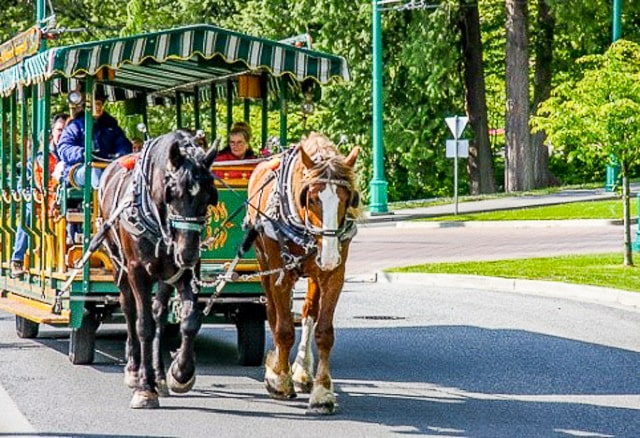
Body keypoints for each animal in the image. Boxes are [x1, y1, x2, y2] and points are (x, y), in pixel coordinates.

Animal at [97, 130, 218, 408]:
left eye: (208, 197)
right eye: (171, 194)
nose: (187, 254)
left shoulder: (186, 272)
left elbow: (189, 321)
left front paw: (180, 373)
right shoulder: (137, 271)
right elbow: (144, 325)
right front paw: (144, 389)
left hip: (165, 274)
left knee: (160, 312)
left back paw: (160, 376)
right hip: (119, 265)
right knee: (130, 310)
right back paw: (134, 369)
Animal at [244, 132, 358, 412]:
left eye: (347, 198)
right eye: (313, 198)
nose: (328, 255)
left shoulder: (334, 275)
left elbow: (324, 332)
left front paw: (322, 392)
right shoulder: (280, 273)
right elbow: (283, 329)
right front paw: (279, 380)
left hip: (313, 274)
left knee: (308, 312)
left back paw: (302, 371)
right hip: (264, 265)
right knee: (273, 314)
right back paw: (277, 366)